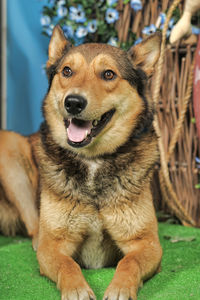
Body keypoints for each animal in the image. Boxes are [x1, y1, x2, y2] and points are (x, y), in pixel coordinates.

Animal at [0, 25, 162, 300]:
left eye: (108, 74)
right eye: (67, 71)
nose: (73, 102)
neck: (93, 161)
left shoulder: (147, 242)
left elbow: (129, 262)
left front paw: (120, 288)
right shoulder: (54, 245)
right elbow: (68, 264)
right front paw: (77, 289)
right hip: (8, 147)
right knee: (34, 228)